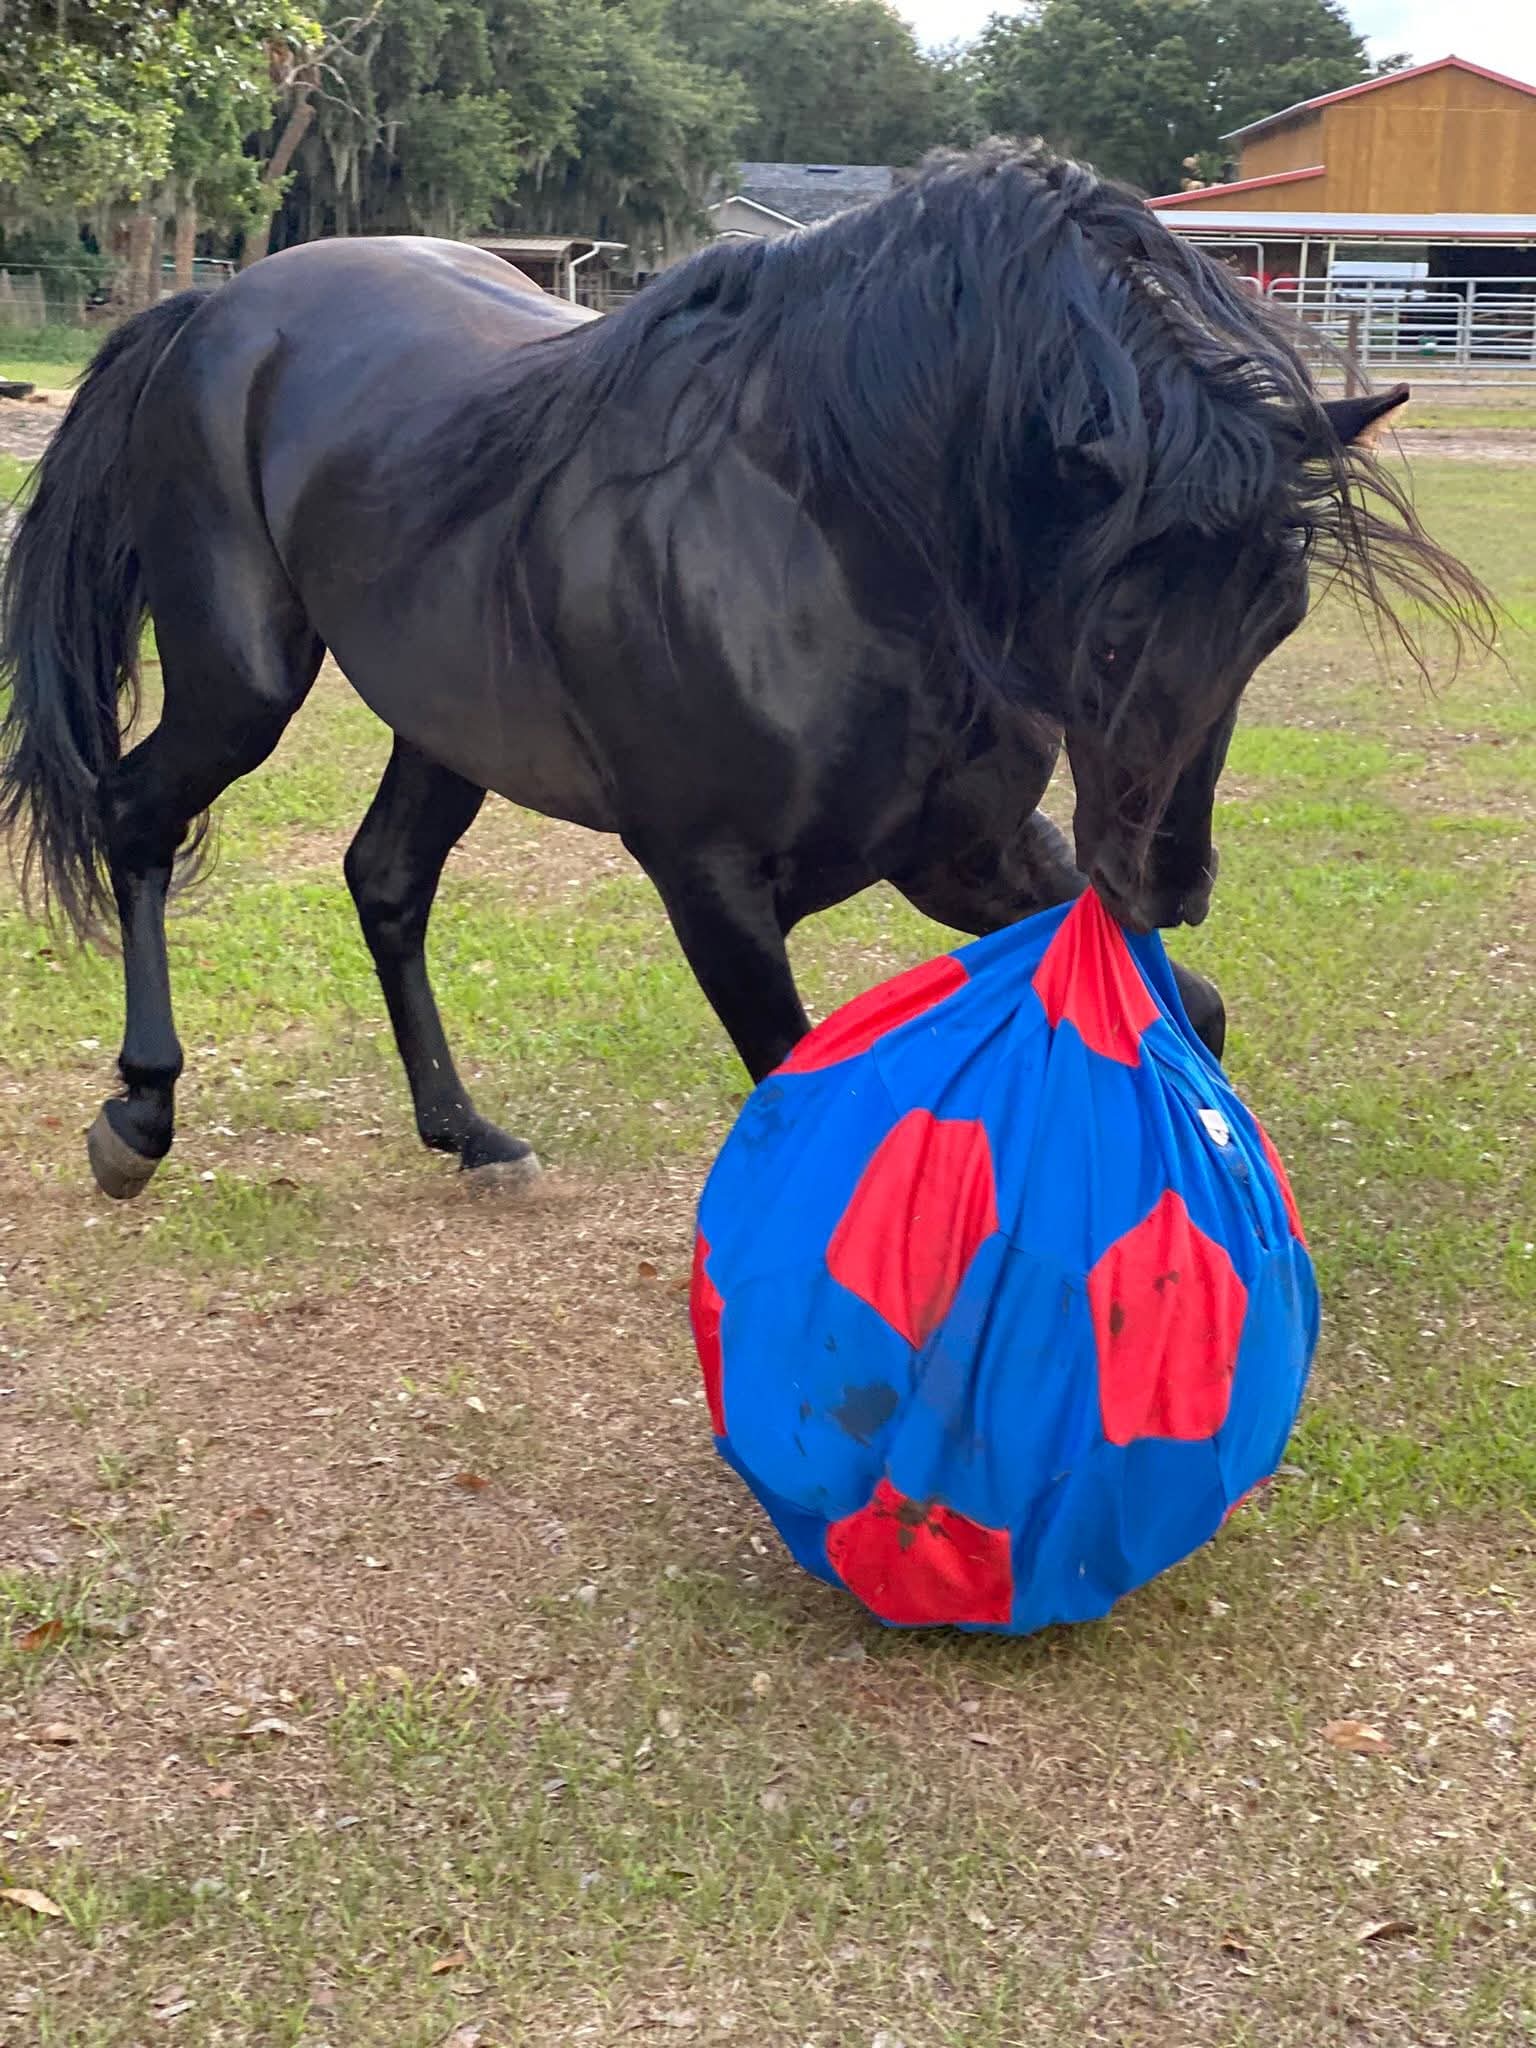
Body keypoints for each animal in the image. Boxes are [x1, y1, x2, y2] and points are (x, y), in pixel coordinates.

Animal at [1, 144, 1488, 1201]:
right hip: (239, 683)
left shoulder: (967, 851)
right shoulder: (712, 887)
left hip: (444, 719)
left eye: (1277, 623)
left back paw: (469, 1132)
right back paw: (138, 1115)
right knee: (139, 816)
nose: (1166, 886)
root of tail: (220, 308)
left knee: (386, 880)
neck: (833, 534)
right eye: (1110, 633)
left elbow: (1203, 1018)